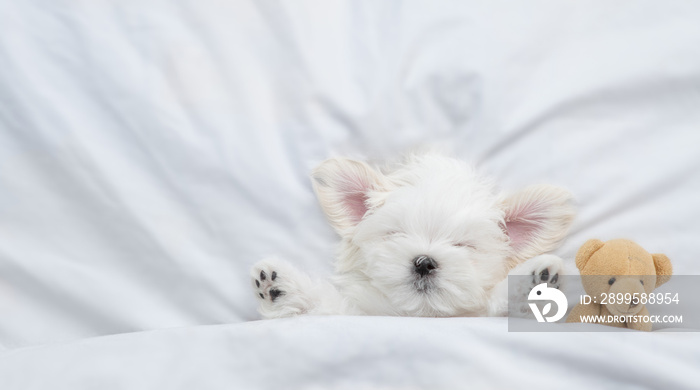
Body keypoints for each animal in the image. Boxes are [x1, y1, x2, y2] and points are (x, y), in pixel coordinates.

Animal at [252, 152, 576, 316]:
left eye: (463, 245)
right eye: (395, 233)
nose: (424, 261)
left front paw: (535, 285)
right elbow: (324, 306)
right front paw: (284, 288)